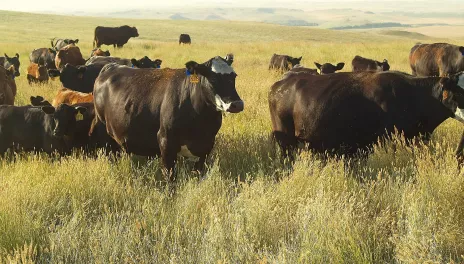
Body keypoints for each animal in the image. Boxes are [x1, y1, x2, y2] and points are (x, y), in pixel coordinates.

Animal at [90, 56, 243, 180]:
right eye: (213, 78)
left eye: (234, 76)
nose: (237, 104)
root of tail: (111, 66)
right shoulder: (166, 141)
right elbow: (170, 177)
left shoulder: (206, 145)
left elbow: (198, 174)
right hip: (105, 132)